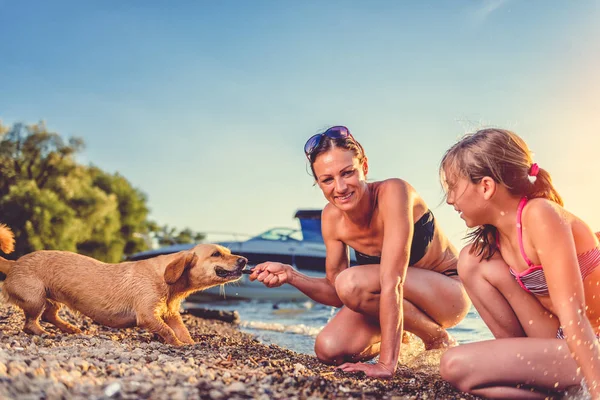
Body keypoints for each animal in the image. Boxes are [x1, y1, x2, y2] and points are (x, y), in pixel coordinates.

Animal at [0, 227, 248, 346]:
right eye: (216, 254)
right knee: (30, 324)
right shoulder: (147, 315)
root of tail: (14, 262)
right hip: (35, 299)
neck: (168, 282)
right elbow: (167, 331)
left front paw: (190, 343)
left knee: (50, 315)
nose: (245, 260)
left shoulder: (171, 314)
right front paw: (177, 344)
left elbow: (182, 330)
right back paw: (44, 333)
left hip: (51, 300)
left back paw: (71, 329)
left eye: (228, 252)